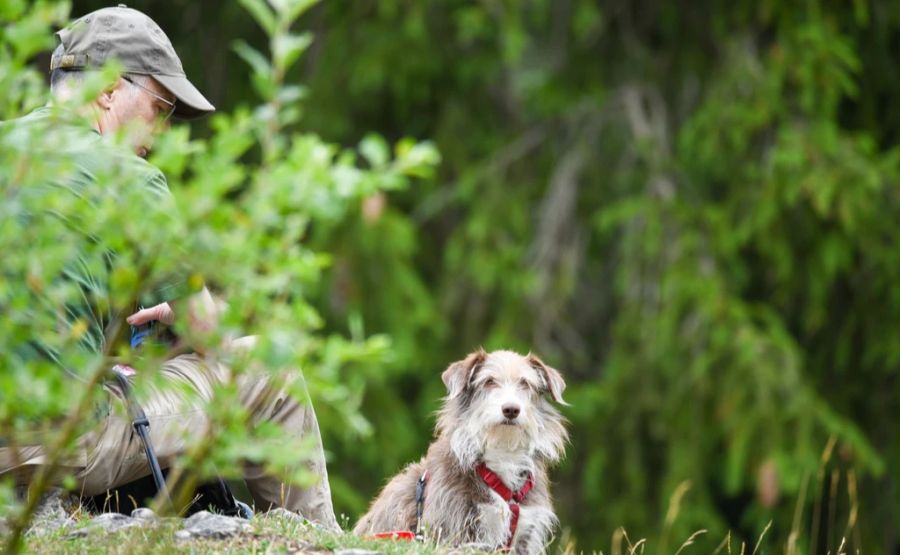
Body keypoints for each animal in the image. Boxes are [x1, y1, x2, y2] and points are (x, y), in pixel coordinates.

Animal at [354, 350, 568, 552]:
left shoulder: (525, 533)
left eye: (525, 383)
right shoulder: (453, 529)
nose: (511, 410)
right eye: (489, 381)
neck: (502, 451)